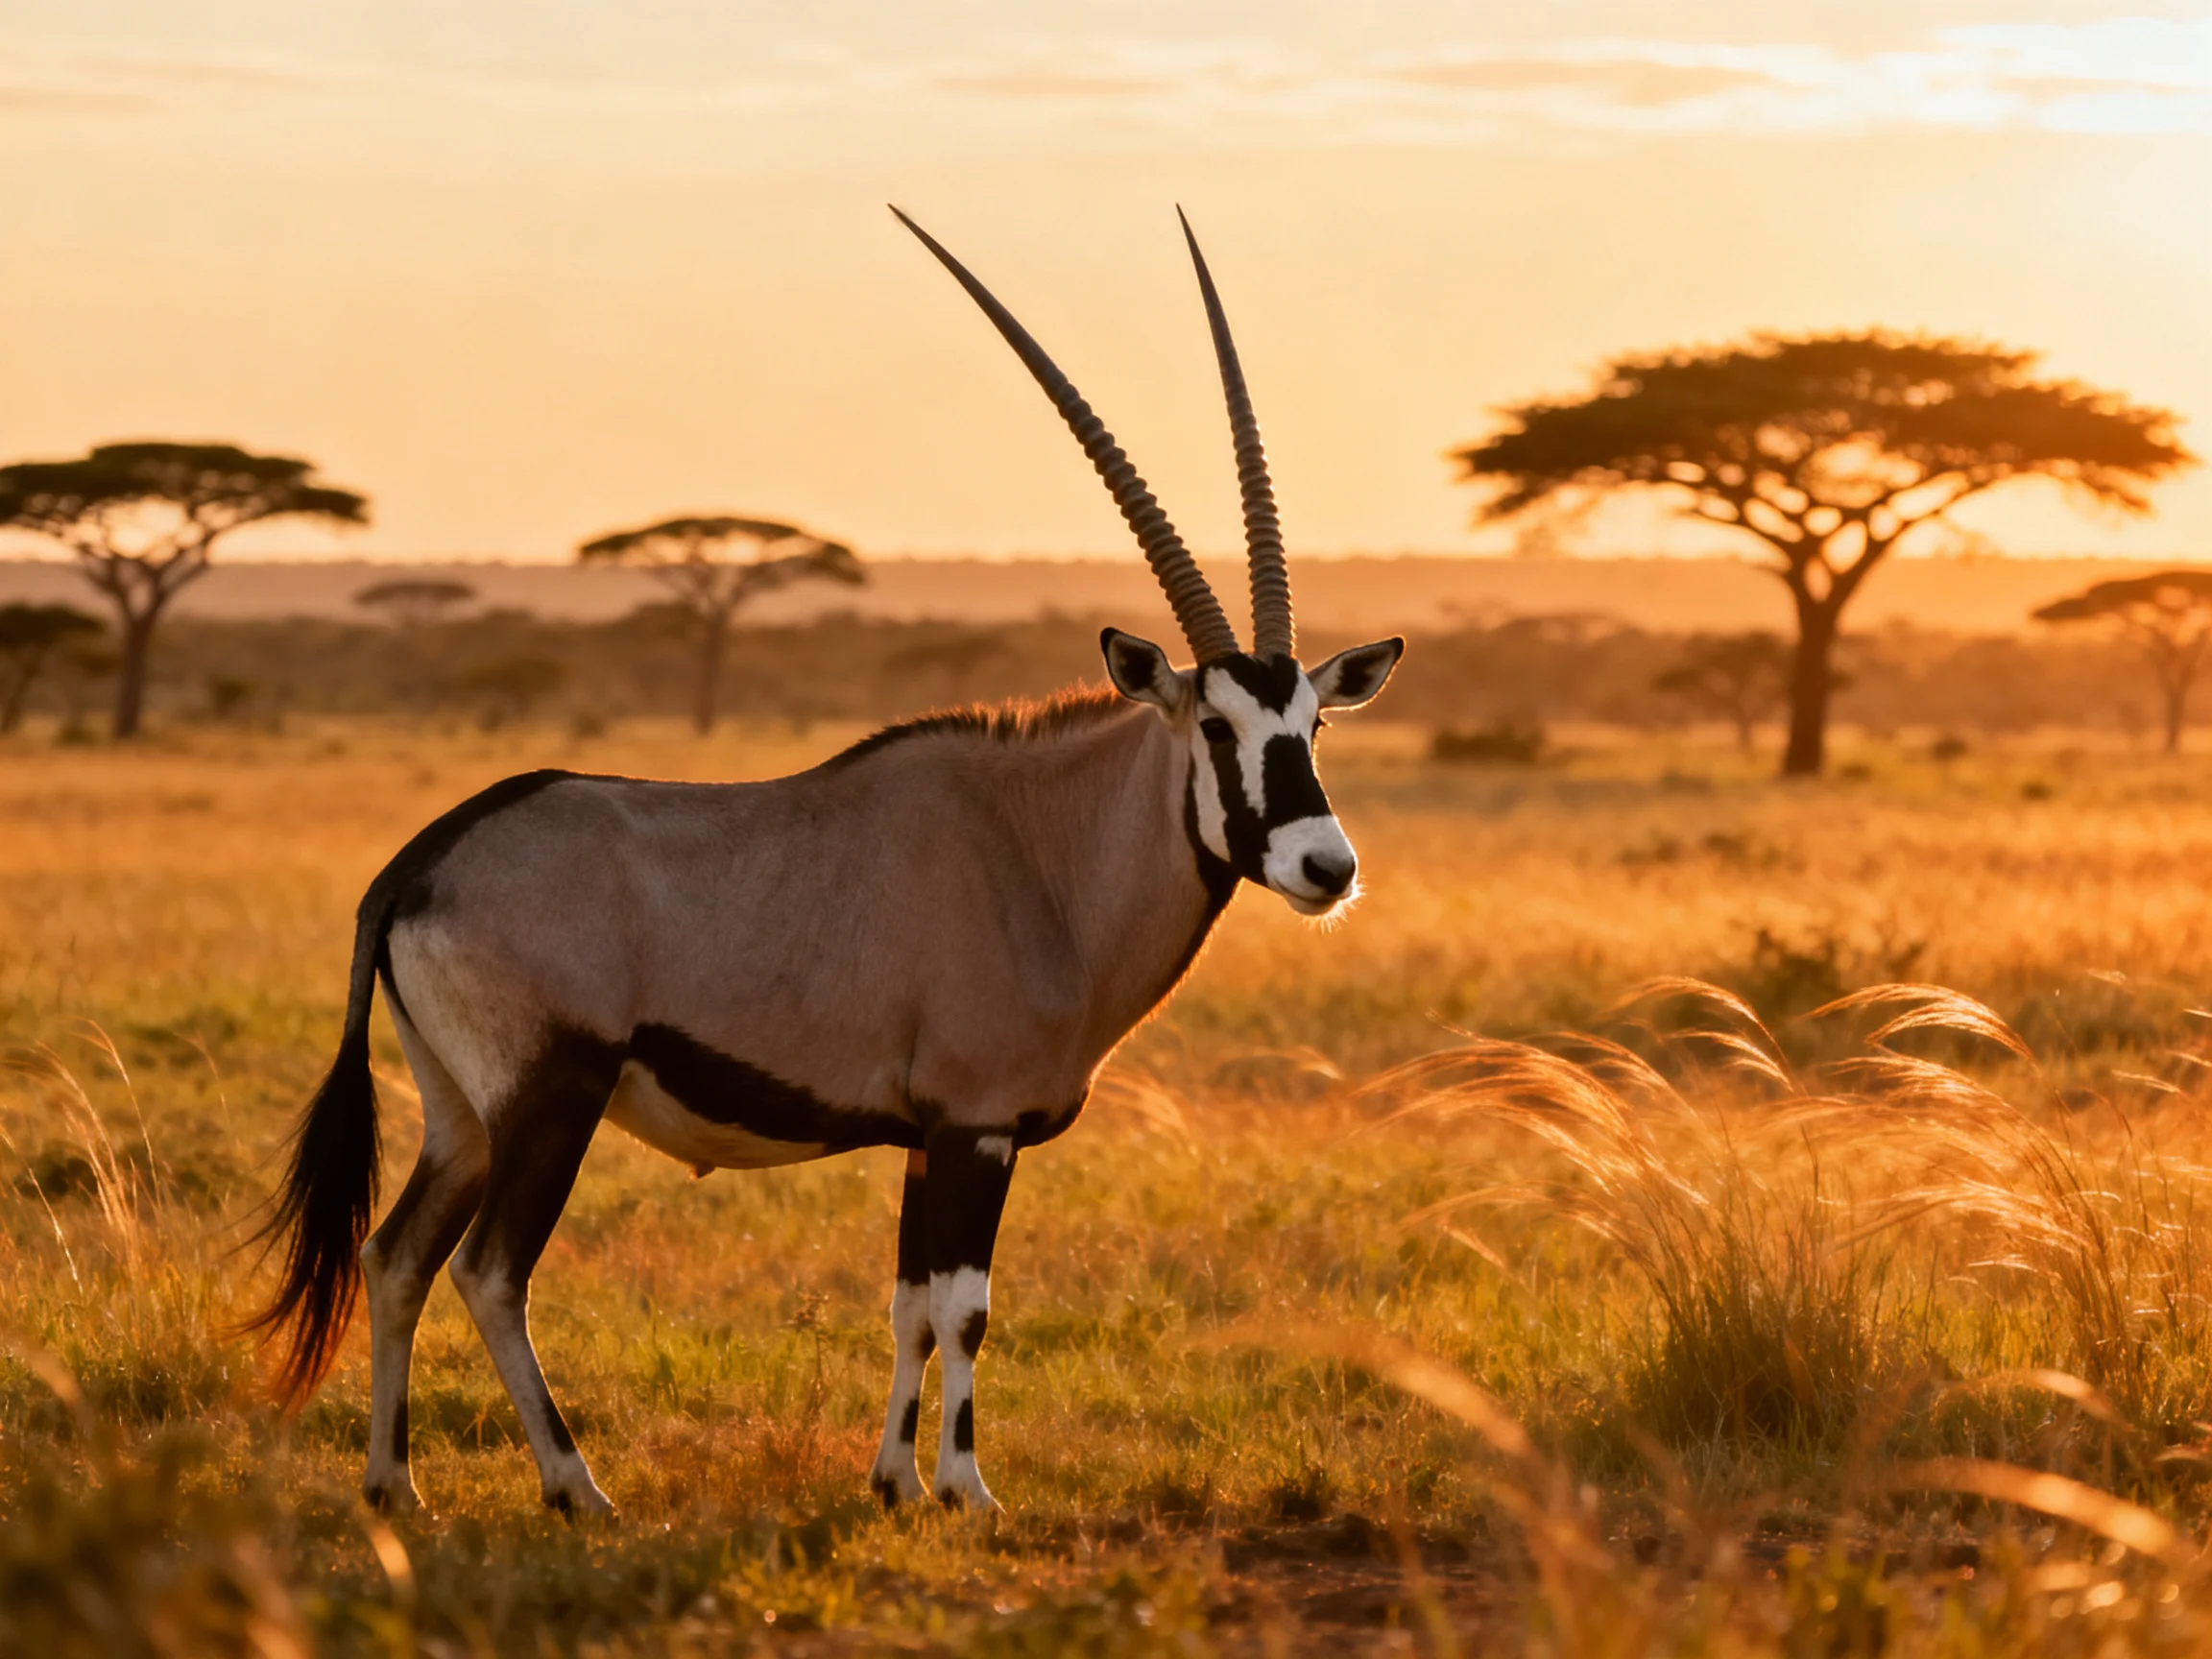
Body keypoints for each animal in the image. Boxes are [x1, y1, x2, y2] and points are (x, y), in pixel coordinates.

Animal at [247, 208, 1405, 1517]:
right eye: (1214, 726)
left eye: (1311, 725)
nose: (1324, 867)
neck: (1042, 853)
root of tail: (418, 864)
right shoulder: (975, 1127)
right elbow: (966, 1308)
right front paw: (966, 1490)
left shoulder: (924, 1136)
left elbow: (909, 1306)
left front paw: (893, 1480)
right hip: (550, 1099)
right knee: (490, 1271)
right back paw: (578, 1488)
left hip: (460, 1113)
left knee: (395, 1257)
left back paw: (394, 1488)